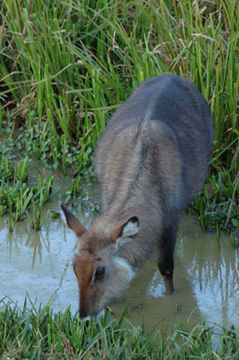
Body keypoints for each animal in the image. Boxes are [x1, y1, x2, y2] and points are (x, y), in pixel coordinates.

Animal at [61, 74, 213, 320]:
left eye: (100, 271)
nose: (84, 316)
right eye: (75, 268)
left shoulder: (171, 220)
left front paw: (171, 300)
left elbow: (166, 267)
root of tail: (171, 76)